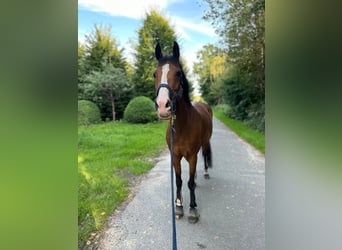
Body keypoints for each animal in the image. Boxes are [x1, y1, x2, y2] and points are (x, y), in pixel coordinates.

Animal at [154, 41, 212, 223]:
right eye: (154, 74)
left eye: (178, 73)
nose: (162, 106)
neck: (181, 127)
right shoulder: (175, 156)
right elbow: (179, 181)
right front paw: (178, 206)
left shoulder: (192, 156)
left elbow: (189, 182)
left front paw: (193, 209)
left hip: (205, 142)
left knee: (205, 155)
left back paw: (205, 173)